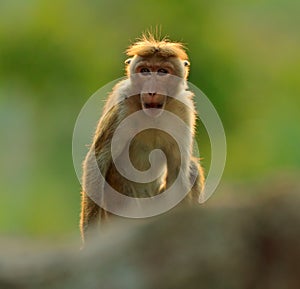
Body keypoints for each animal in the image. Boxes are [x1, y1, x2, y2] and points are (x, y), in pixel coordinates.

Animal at [79, 32, 205, 242]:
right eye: (145, 71)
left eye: (162, 71)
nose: (152, 90)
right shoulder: (121, 107)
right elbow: (97, 161)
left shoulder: (183, 111)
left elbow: (178, 170)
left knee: (192, 168)